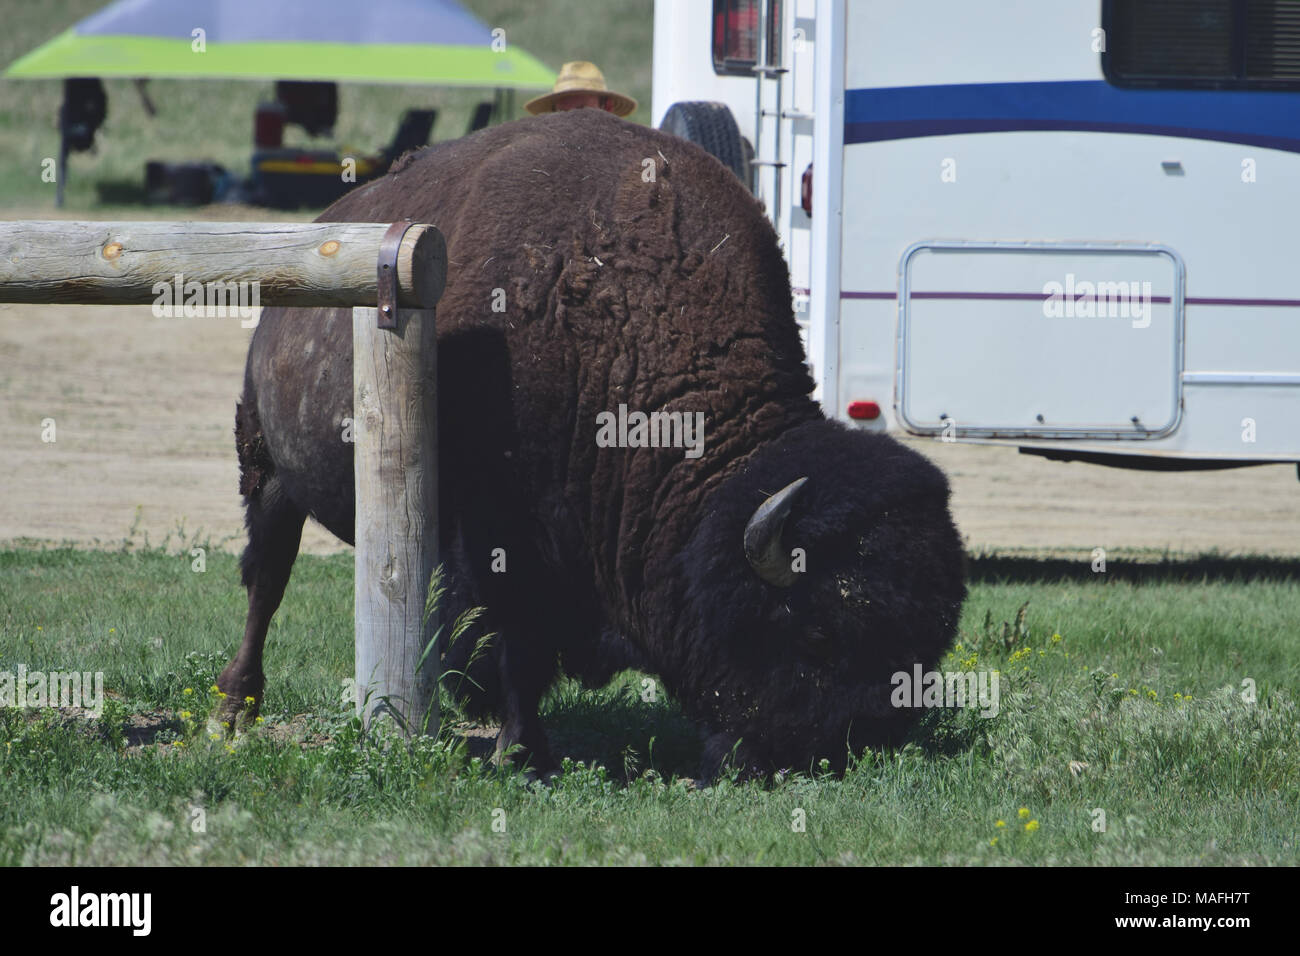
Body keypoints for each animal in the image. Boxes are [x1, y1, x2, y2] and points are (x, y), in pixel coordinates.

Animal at [223, 108, 967, 780]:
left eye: (929, 640)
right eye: (816, 634)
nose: (852, 750)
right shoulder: (499, 542)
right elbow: (516, 644)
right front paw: (522, 754)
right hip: (265, 468)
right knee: (266, 578)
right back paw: (235, 707)